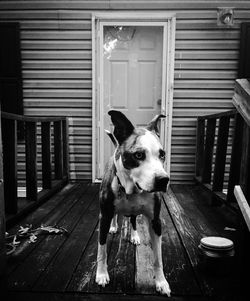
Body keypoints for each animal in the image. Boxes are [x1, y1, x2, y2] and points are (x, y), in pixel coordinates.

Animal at [95, 110, 172, 296]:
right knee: (117, 216)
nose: (163, 180)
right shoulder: (104, 216)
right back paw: (114, 227)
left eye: (162, 154)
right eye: (138, 155)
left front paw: (161, 282)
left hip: (136, 213)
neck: (131, 190)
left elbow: (158, 257)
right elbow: (101, 250)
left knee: (132, 219)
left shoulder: (155, 222)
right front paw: (101, 274)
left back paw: (135, 235)